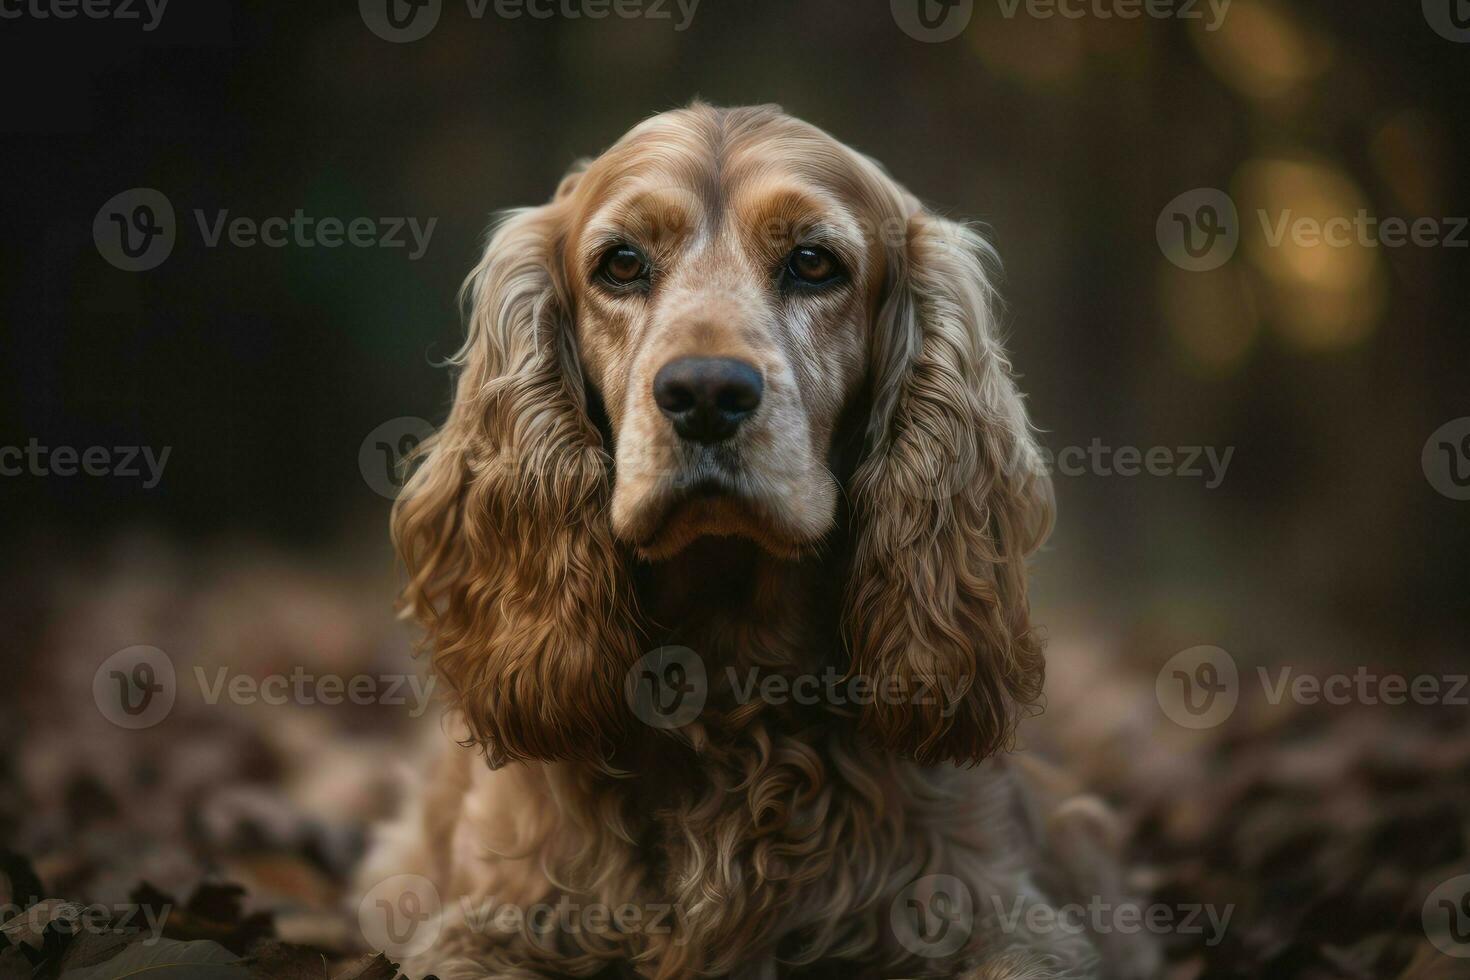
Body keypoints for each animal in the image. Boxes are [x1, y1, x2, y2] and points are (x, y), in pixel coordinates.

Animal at [358, 103, 1158, 975]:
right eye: (621, 263)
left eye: (812, 262)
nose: (706, 391)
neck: (728, 671)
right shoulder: (489, 925)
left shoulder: (1003, 917)